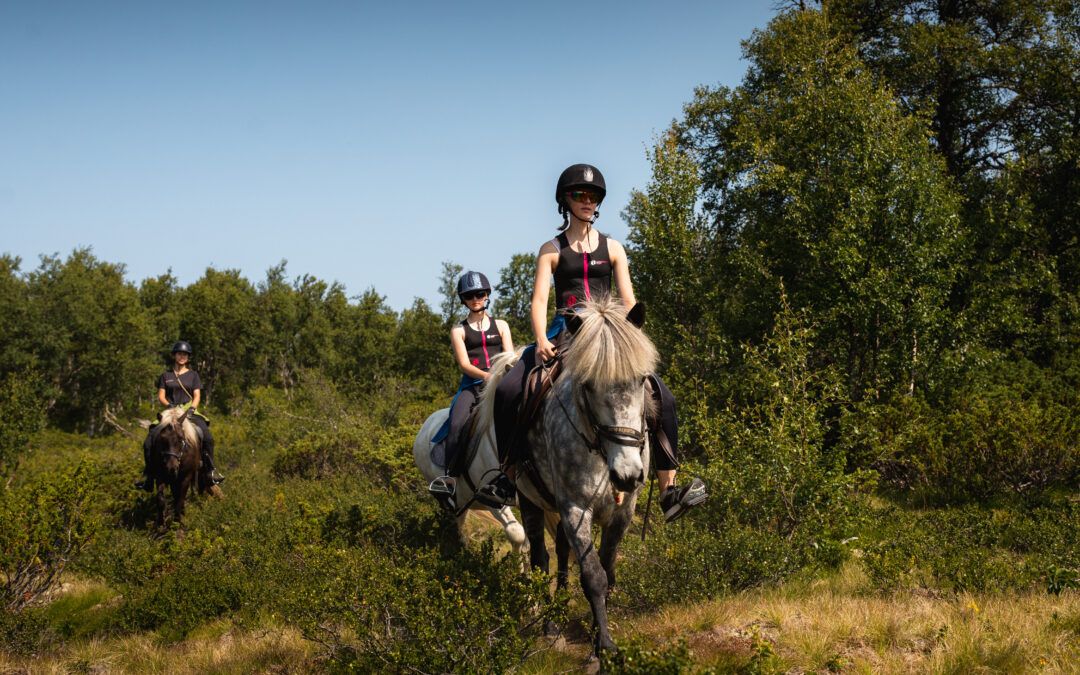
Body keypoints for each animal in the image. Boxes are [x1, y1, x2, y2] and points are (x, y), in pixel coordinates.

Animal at [477, 298, 652, 656]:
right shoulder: (576, 508)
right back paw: (549, 625)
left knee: (559, 554)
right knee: (540, 558)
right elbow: (593, 575)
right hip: (530, 500)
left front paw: (597, 629)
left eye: (642, 379)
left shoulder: (622, 512)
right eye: (587, 385)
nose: (627, 474)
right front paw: (604, 646)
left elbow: (607, 570)